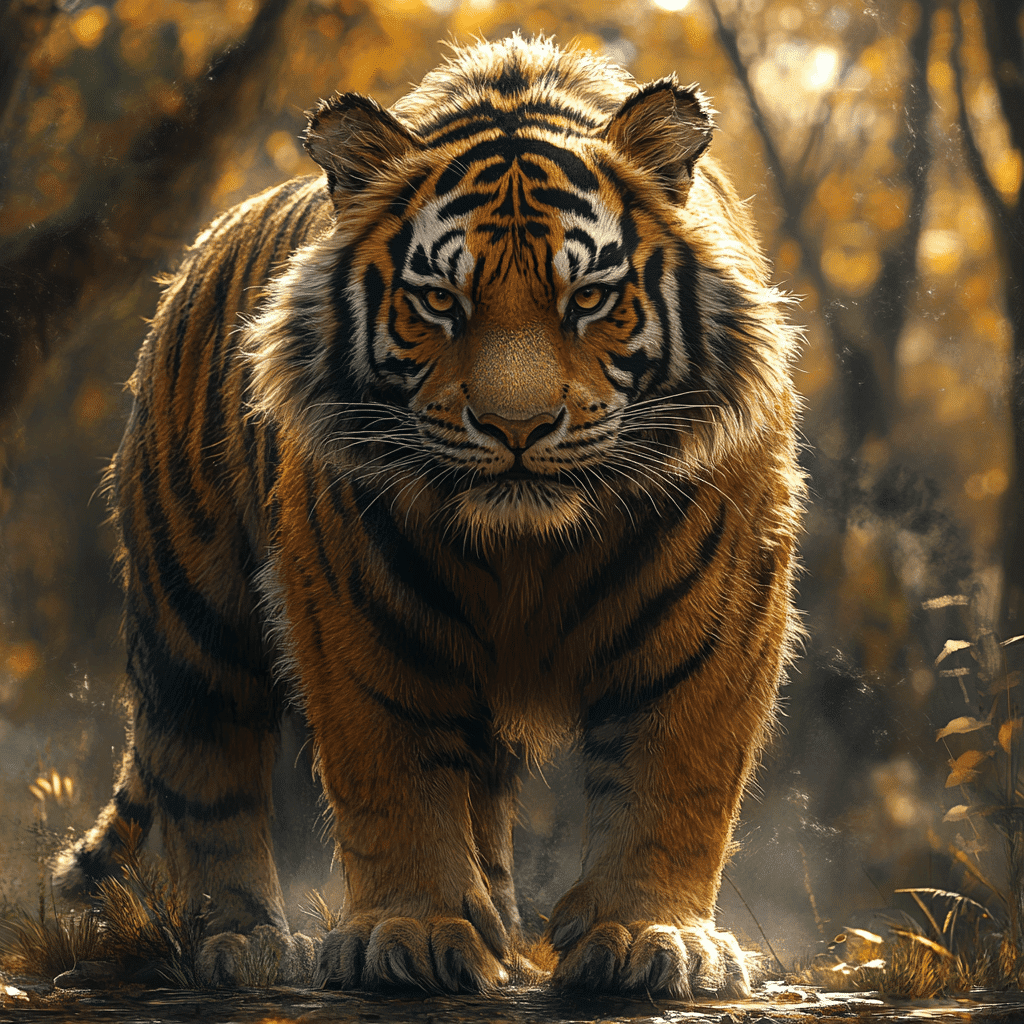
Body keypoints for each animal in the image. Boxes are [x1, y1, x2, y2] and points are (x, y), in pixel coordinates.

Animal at [53, 35, 803, 998]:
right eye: (441, 300)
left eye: (588, 298)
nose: (517, 426)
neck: (528, 546)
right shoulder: (363, 617)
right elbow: (396, 777)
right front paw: (411, 931)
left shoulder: (709, 621)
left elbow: (672, 778)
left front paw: (650, 937)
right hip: (193, 608)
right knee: (207, 768)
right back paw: (243, 943)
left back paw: (501, 939)